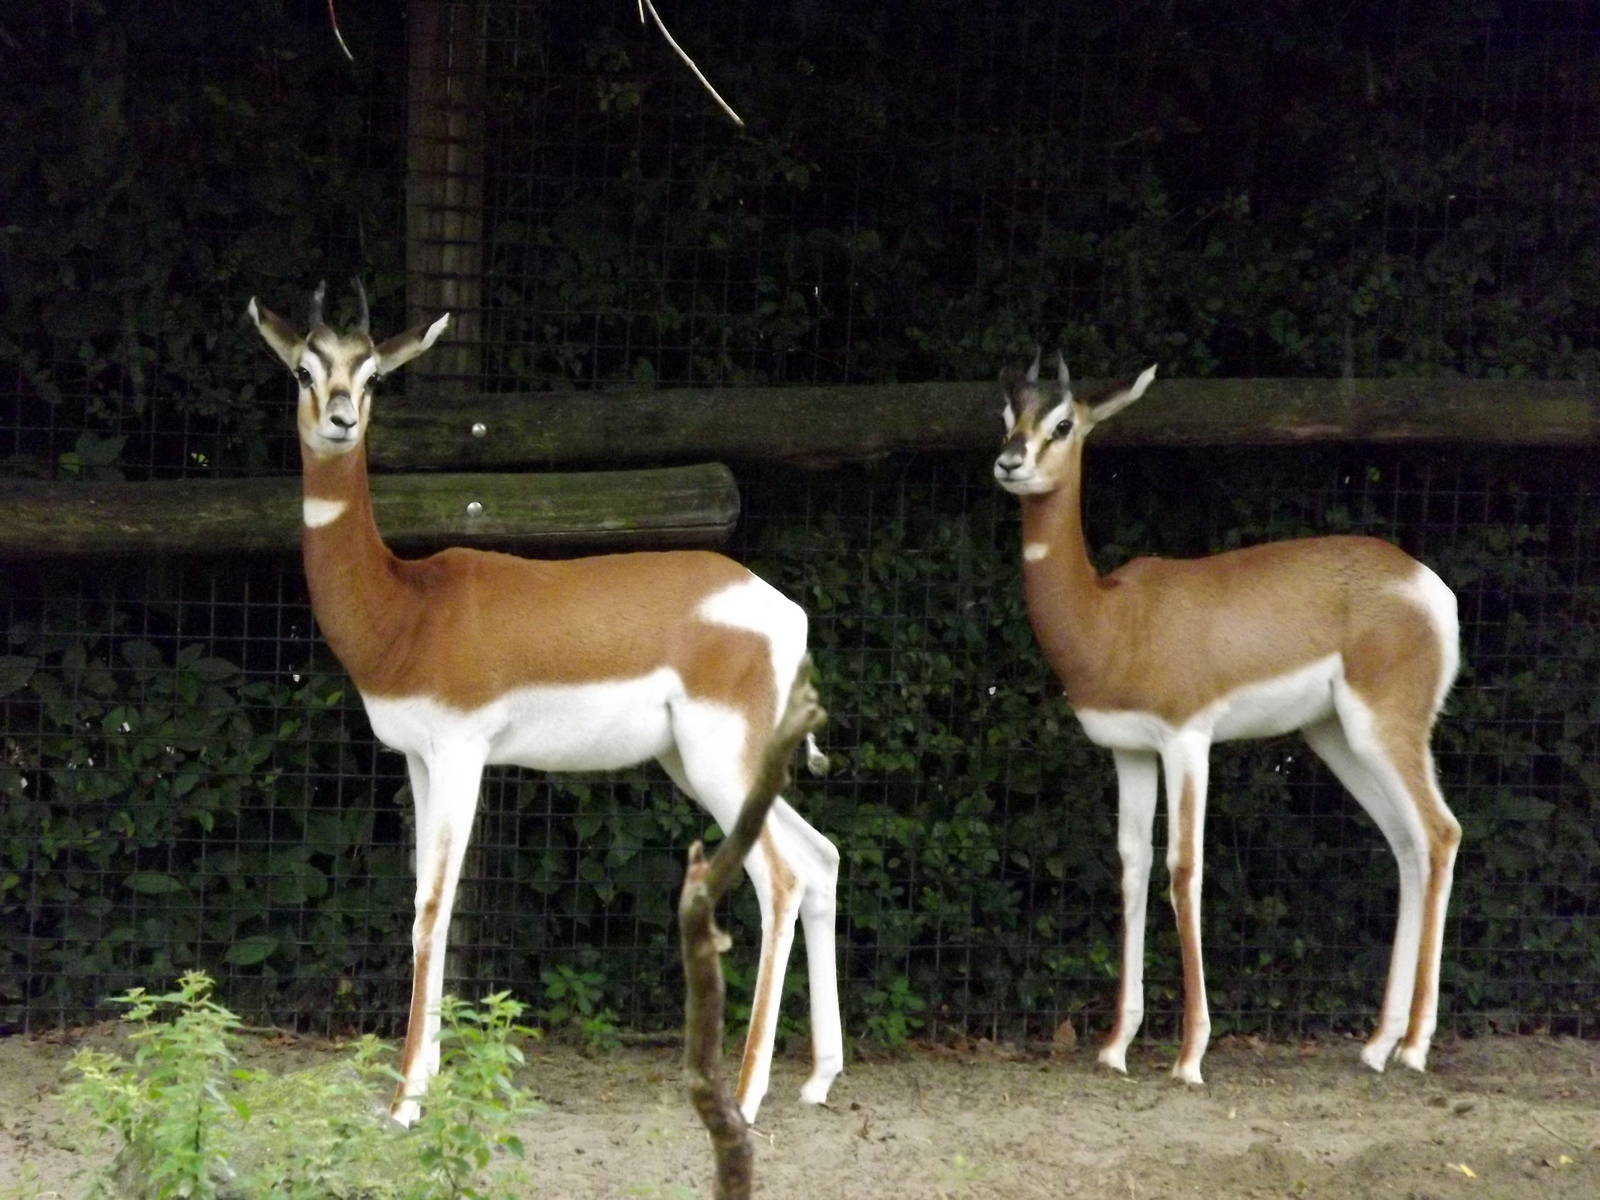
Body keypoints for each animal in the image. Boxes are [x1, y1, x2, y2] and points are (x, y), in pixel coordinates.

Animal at [247, 282, 843, 1126]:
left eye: (372, 376)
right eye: (304, 369)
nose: (340, 419)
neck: (412, 609)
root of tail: (786, 616)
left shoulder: (462, 754)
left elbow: (434, 909)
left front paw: (404, 1099)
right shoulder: (417, 760)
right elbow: (422, 906)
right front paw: (430, 1076)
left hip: (718, 765)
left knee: (782, 878)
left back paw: (750, 1093)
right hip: (714, 765)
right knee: (822, 858)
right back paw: (820, 1078)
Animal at [993, 352, 1461, 1084]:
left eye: (1064, 422)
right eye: (1008, 412)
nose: (1010, 462)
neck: (1115, 617)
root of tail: (1427, 586)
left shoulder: (1187, 739)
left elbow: (1184, 869)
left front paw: (1189, 1057)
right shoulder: (1129, 750)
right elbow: (1132, 865)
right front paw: (1114, 1047)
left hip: (1385, 728)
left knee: (1440, 833)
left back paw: (1414, 1047)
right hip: (1338, 739)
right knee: (1406, 843)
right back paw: (1378, 1044)